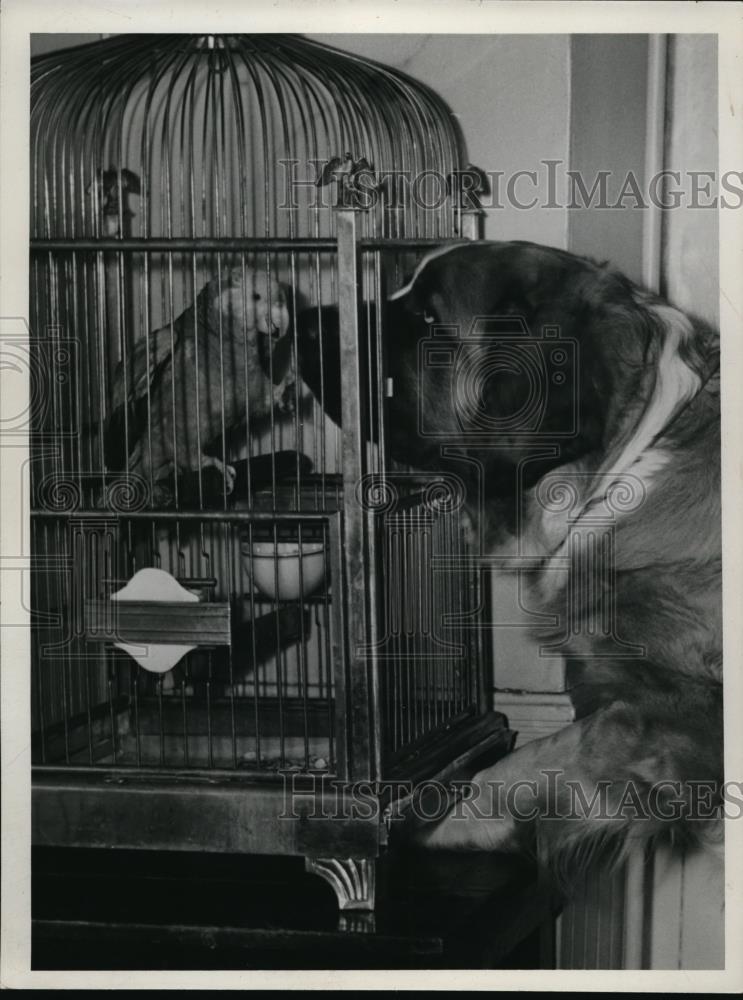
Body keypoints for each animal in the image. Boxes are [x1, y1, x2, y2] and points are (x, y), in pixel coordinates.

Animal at [300, 240, 724, 876]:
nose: (301, 319)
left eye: (428, 317)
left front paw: (442, 820)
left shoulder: (674, 709)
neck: (630, 459)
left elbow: (537, 759)